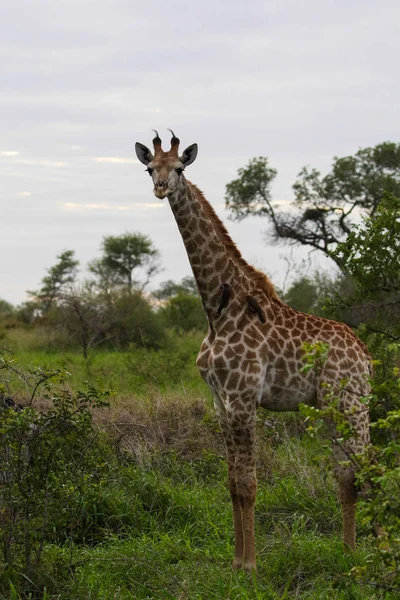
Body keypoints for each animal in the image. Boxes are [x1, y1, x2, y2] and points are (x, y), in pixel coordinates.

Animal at [135, 130, 372, 572]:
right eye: (149, 168)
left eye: (180, 168)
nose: (160, 188)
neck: (217, 310)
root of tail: (366, 356)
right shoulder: (220, 402)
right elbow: (231, 483)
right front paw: (234, 562)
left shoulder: (243, 398)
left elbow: (248, 483)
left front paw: (250, 567)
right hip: (332, 406)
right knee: (346, 474)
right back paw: (349, 556)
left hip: (351, 403)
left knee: (369, 467)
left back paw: (376, 555)